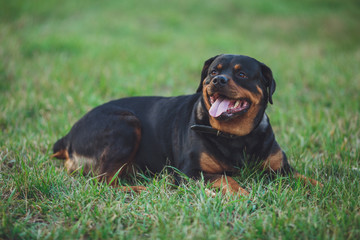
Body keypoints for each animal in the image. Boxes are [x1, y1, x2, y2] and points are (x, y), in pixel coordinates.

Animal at [51, 54, 324, 195]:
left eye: (242, 74)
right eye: (213, 71)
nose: (218, 80)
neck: (237, 138)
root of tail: (68, 136)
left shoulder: (282, 170)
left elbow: (307, 179)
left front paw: (324, 188)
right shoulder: (189, 172)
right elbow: (227, 179)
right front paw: (242, 194)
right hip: (127, 123)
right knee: (103, 181)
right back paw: (139, 188)